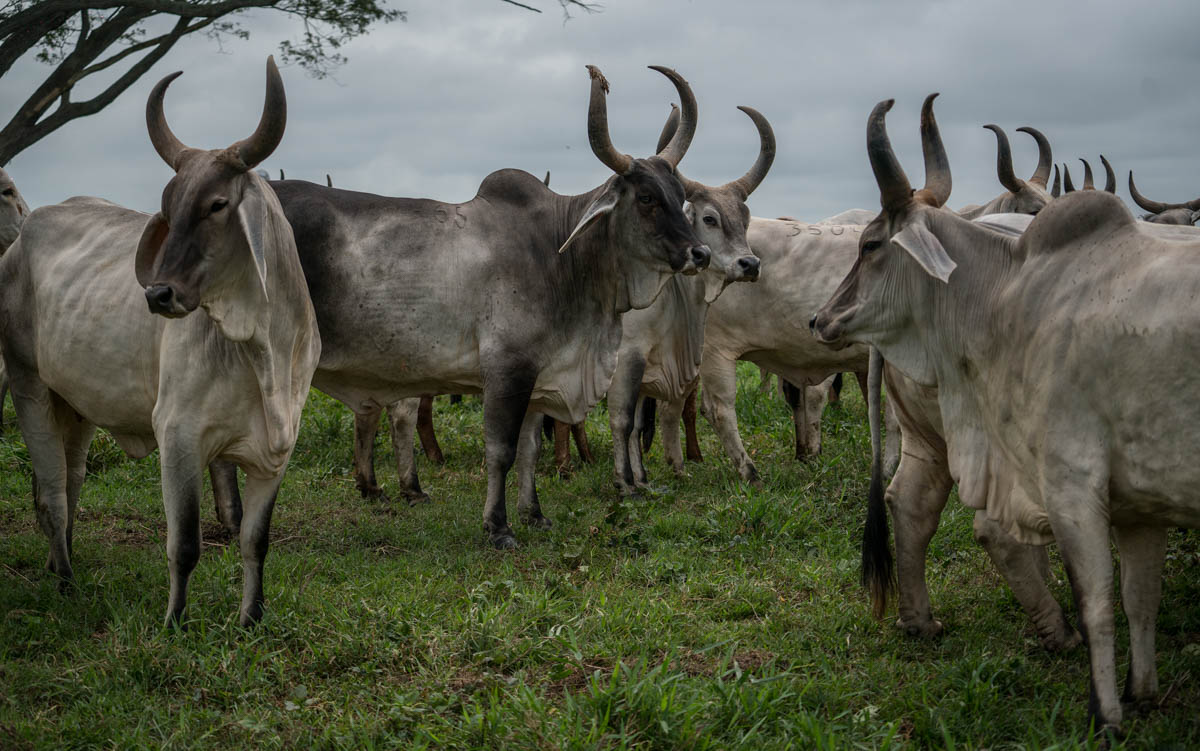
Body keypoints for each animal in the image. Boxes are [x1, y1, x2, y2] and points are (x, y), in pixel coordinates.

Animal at [0, 56, 319, 623]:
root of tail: (21, 238)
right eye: (168, 206)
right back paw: (65, 580)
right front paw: (175, 622)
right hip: (26, 382)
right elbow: (185, 544)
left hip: (76, 403)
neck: (263, 351)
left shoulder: (277, 451)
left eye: (217, 204)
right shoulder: (179, 438)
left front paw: (251, 619)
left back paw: (65, 556)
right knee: (52, 493)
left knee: (72, 480)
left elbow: (255, 541)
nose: (157, 293)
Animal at [806, 93, 1200, 729]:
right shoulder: (1072, 477)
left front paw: (1138, 695)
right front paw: (1108, 713)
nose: (820, 318)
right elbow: (1101, 599)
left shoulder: (1132, 497)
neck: (1005, 286)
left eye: (870, 245)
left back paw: (923, 621)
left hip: (933, 437)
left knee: (915, 504)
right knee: (986, 526)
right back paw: (1050, 630)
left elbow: (1137, 596)